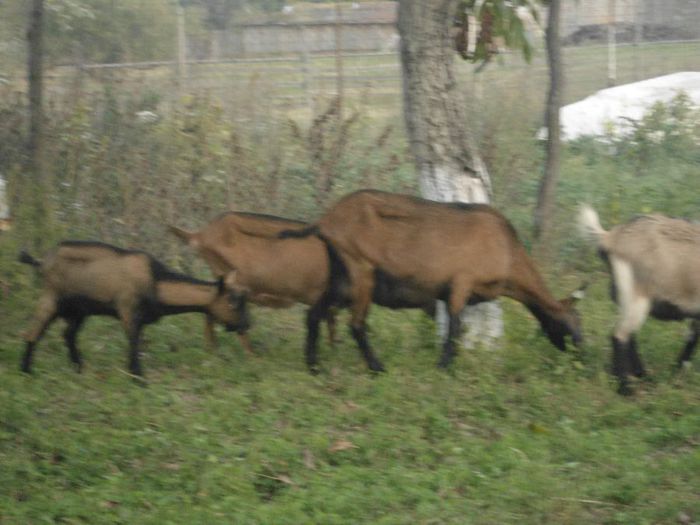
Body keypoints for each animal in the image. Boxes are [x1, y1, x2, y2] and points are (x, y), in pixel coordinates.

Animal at [19, 239, 249, 374]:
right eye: (233, 302)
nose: (247, 325)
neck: (155, 281)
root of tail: (41, 261)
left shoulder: (141, 318)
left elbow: (138, 342)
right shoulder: (128, 309)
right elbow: (133, 342)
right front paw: (138, 377)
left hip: (78, 310)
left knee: (68, 335)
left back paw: (79, 367)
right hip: (51, 297)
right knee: (33, 332)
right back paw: (26, 370)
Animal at [168, 211, 438, 370]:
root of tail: (200, 235)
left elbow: (331, 324)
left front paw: (333, 351)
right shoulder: (323, 296)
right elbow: (325, 323)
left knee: (211, 313)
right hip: (233, 283)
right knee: (218, 315)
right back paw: (244, 354)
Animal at [278, 190, 580, 370]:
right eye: (572, 322)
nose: (581, 352)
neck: (508, 250)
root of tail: (325, 221)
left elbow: (456, 327)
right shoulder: (461, 283)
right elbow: (455, 328)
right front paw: (444, 367)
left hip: (341, 277)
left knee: (314, 314)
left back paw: (313, 365)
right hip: (361, 269)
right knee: (356, 324)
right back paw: (377, 367)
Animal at [576, 205, 696, 392]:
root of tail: (610, 237)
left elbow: (692, 338)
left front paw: (677, 375)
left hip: (627, 296)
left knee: (629, 333)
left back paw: (641, 376)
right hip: (637, 294)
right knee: (620, 334)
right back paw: (626, 388)